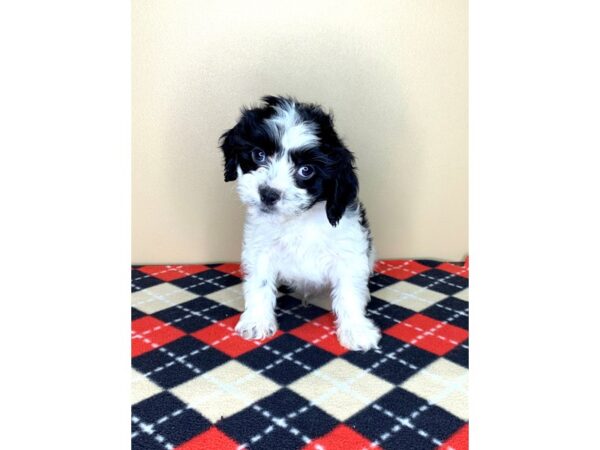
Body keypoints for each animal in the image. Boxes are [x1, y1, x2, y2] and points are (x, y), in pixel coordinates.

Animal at [219, 96, 380, 352]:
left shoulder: (348, 251)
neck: (298, 219)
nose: (268, 194)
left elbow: (349, 291)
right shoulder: (260, 248)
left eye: (306, 170)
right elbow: (260, 283)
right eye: (258, 155)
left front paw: (356, 329)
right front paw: (256, 320)